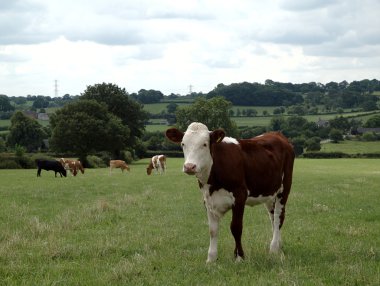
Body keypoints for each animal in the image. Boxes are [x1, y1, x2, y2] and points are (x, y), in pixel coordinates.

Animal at [166, 122, 294, 262]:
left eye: (204, 144)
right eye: (183, 144)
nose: (189, 166)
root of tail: (277, 134)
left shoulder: (239, 196)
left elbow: (236, 227)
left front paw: (239, 257)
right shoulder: (207, 200)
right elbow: (213, 230)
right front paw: (211, 259)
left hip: (284, 188)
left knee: (278, 217)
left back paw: (273, 248)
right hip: (269, 193)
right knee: (272, 218)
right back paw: (279, 246)